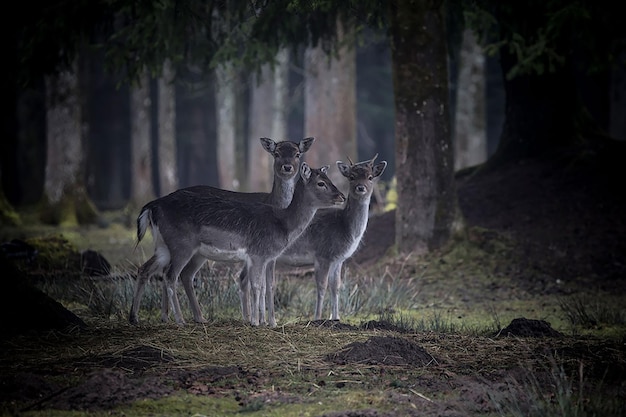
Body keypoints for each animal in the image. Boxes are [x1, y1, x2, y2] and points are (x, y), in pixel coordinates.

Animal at [129, 162, 344, 324]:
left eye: (330, 180)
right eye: (321, 183)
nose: (341, 196)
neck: (283, 224)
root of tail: (152, 206)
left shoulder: (265, 257)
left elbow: (263, 287)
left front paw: (262, 321)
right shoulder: (258, 253)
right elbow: (257, 286)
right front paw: (256, 322)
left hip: (165, 246)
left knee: (150, 269)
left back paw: (137, 317)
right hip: (182, 244)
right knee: (170, 275)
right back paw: (180, 320)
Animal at [241, 154, 382, 324]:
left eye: (370, 177)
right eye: (352, 177)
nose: (361, 188)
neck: (346, 229)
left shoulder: (338, 260)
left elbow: (336, 286)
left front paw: (336, 318)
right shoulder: (323, 255)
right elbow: (322, 286)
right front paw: (318, 318)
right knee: (244, 280)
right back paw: (250, 319)